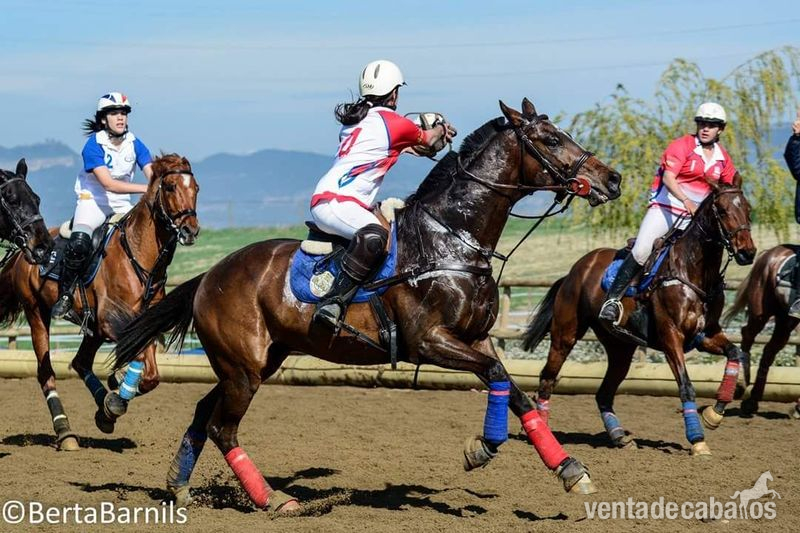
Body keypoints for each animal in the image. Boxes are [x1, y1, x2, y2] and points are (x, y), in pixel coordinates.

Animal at [0, 153, 199, 451]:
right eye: (171, 186)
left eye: (196, 188)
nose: (190, 230)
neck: (140, 258)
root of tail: (20, 255)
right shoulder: (111, 322)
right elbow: (141, 362)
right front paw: (116, 394)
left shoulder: (145, 324)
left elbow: (151, 375)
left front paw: (113, 399)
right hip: (37, 313)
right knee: (46, 372)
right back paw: (66, 431)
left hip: (91, 328)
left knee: (80, 362)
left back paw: (103, 407)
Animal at [111, 99, 621, 513]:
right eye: (551, 139)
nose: (612, 179)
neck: (453, 240)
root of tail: (209, 276)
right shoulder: (430, 342)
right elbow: (498, 380)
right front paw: (483, 448)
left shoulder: (476, 340)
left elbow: (515, 392)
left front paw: (570, 469)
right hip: (243, 369)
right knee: (223, 428)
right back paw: (273, 499)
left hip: (253, 363)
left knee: (204, 413)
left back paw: (179, 487)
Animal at [522, 179, 756, 455]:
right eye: (722, 211)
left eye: (748, 209)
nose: (748, 253)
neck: (694, 273)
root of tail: (574, 270)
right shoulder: (670, 337)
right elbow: (686, 385)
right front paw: (698, 439)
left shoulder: (706, 335)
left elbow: (734, 354)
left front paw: (715, 413)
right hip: (565, 334)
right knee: (548, 377)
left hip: (620, 347)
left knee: (604, 393)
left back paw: (619, 437)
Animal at [723, 244, 800, 418]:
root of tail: (771, 252)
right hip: (761, 312)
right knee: (748, 334)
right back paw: (742, 383)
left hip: (785, 320)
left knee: (769, 351)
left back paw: (752, 401)